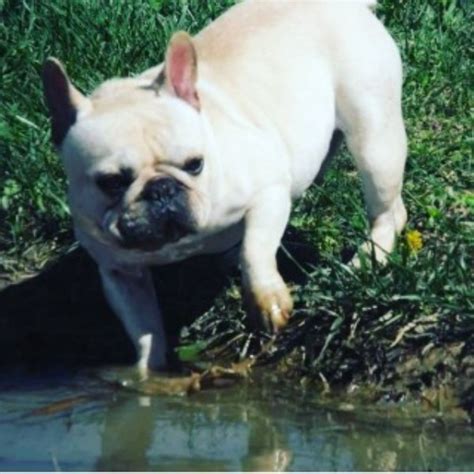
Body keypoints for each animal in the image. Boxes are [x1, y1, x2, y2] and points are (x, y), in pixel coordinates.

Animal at [41, 0, 408, 372]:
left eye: (195, 164)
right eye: (111, 182)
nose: (161, 190)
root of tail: (347, 5)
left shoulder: (268, 192)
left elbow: (255, 250)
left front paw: (267, 302)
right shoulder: (120, 274)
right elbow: (143, 328)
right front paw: (148, 373)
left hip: (374, 141)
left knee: (387, 211)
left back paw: (369, 258)